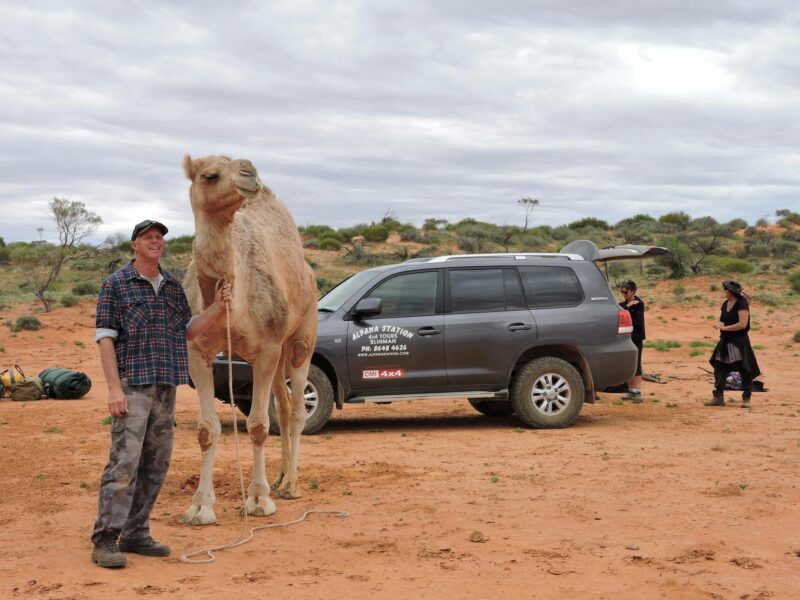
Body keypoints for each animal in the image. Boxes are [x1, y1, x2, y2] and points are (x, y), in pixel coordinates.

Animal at [179, 154, 317, 525]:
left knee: (296, 409)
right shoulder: (196, 352)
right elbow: (206, 429)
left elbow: (258, 425)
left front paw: (257, 500)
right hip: (279, 353)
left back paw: (291, 485)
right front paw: (201, 507)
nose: (249, 173)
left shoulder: (266, 348)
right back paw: (281, 477)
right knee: (283, 406)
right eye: (209, 175)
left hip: (301, 338)